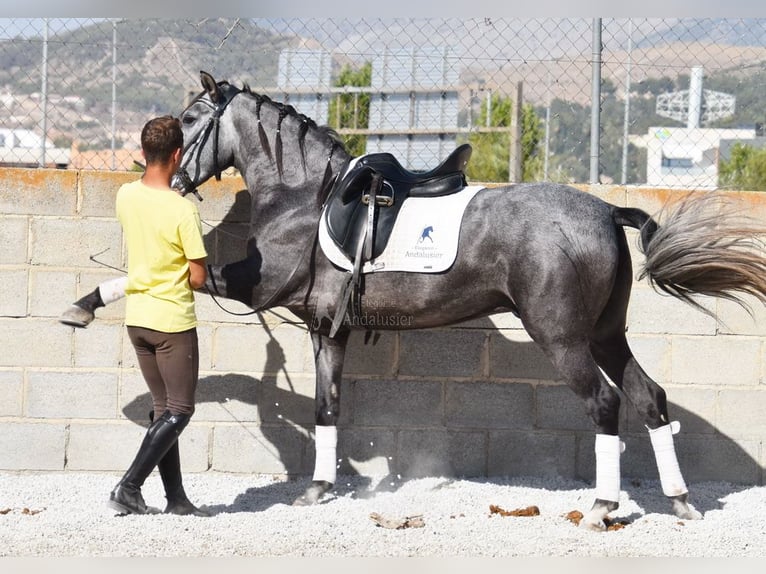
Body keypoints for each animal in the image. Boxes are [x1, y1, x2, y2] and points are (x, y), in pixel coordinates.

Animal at [63, 71, 766, 531]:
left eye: (189, 120)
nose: (168, 176)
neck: (303, 195)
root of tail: (604, 210)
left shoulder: (257, 285)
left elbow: (185, 277)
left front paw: (85, 303)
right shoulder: (327, 329)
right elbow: (326, 407)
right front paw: (318, 489)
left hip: (564, 338)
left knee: (606, 405)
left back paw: (600, 507)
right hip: (603, 334)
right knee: (649, 398)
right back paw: (679, 501)